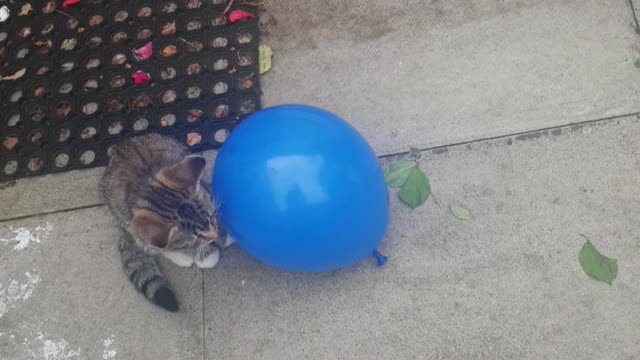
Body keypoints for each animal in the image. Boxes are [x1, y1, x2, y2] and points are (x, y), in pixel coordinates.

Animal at [100, 134, 228, 310]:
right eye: (195, 238)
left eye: (212, 216)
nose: (214, 237)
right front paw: (206, 254)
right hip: (125, 219)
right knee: (155, 246)